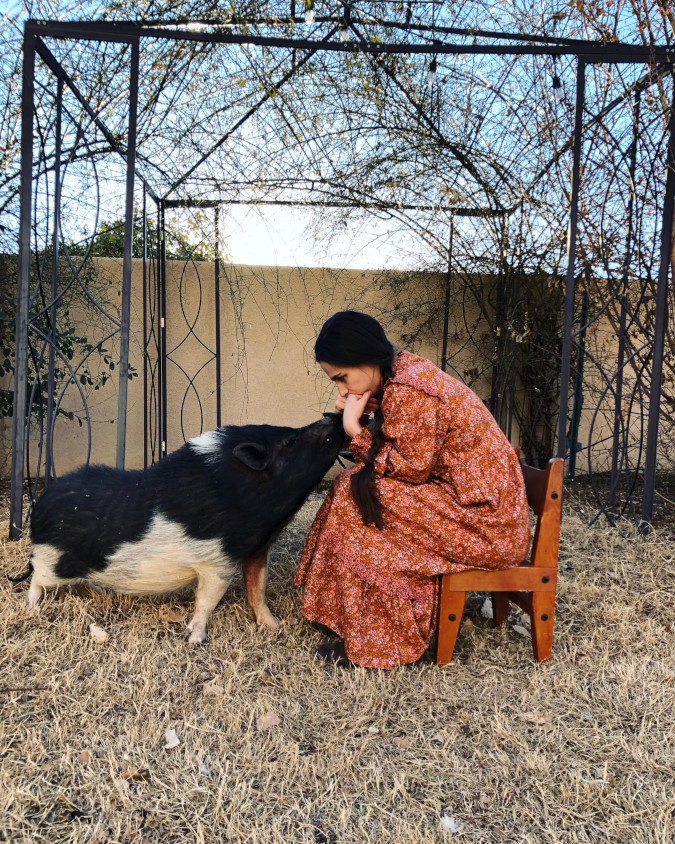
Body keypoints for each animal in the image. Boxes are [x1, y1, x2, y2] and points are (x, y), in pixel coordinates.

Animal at [22, 412, 344, 644]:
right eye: (290, 441)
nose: (333, 415)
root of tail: (40, 508)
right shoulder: (217, 561)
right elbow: (208, 600)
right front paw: (195, 640)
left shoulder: (257, 550)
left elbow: (258, 588)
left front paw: (274, 626)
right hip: (52, 561)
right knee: (36, 577)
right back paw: (31, 607)